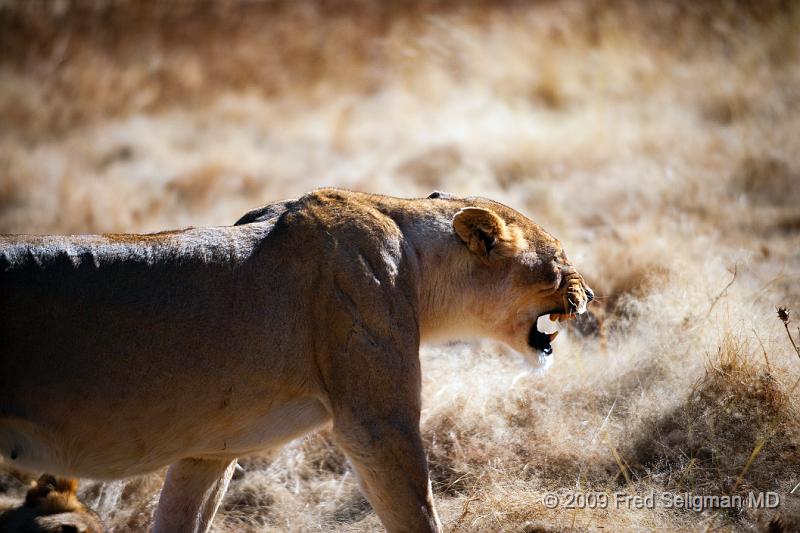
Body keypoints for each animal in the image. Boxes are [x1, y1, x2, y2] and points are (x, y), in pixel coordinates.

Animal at [1, 189, 592, 528]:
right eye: (560, 260)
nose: (589, 294)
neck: (415, 258)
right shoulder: (376, 425)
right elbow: (417, 512)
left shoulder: (207, 450)